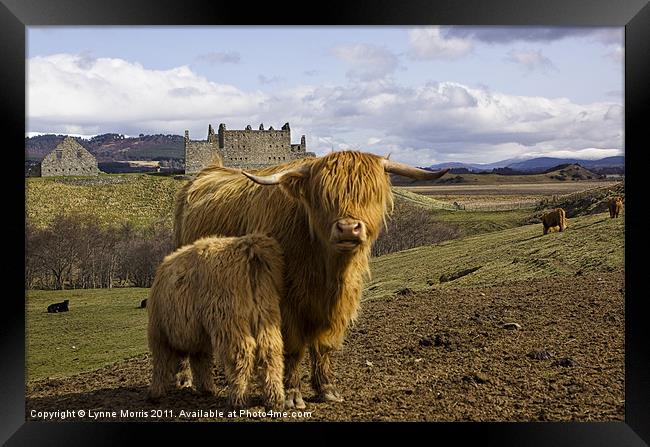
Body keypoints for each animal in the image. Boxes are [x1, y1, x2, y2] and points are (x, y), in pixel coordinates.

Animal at [149, 236, 286, 412]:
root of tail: (248, 247)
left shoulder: (159, 336)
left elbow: (160, 365)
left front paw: (155, 393)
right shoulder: (198, 340)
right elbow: (202, 363)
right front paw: (207, 388)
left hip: (228, 321)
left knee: (241, 354)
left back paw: (238, 398)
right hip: (265, 313)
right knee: (270, 353)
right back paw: (275, 399)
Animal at [171, 151, 446, 410]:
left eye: (370, 194)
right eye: (324, 197)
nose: (348, 228)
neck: (327, 268)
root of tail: (210, 169)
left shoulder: (339, 305)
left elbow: (324, 346)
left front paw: (327, 389)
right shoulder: (285, 304)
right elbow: (293, 348)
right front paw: (292, 395)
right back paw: (185, 379)